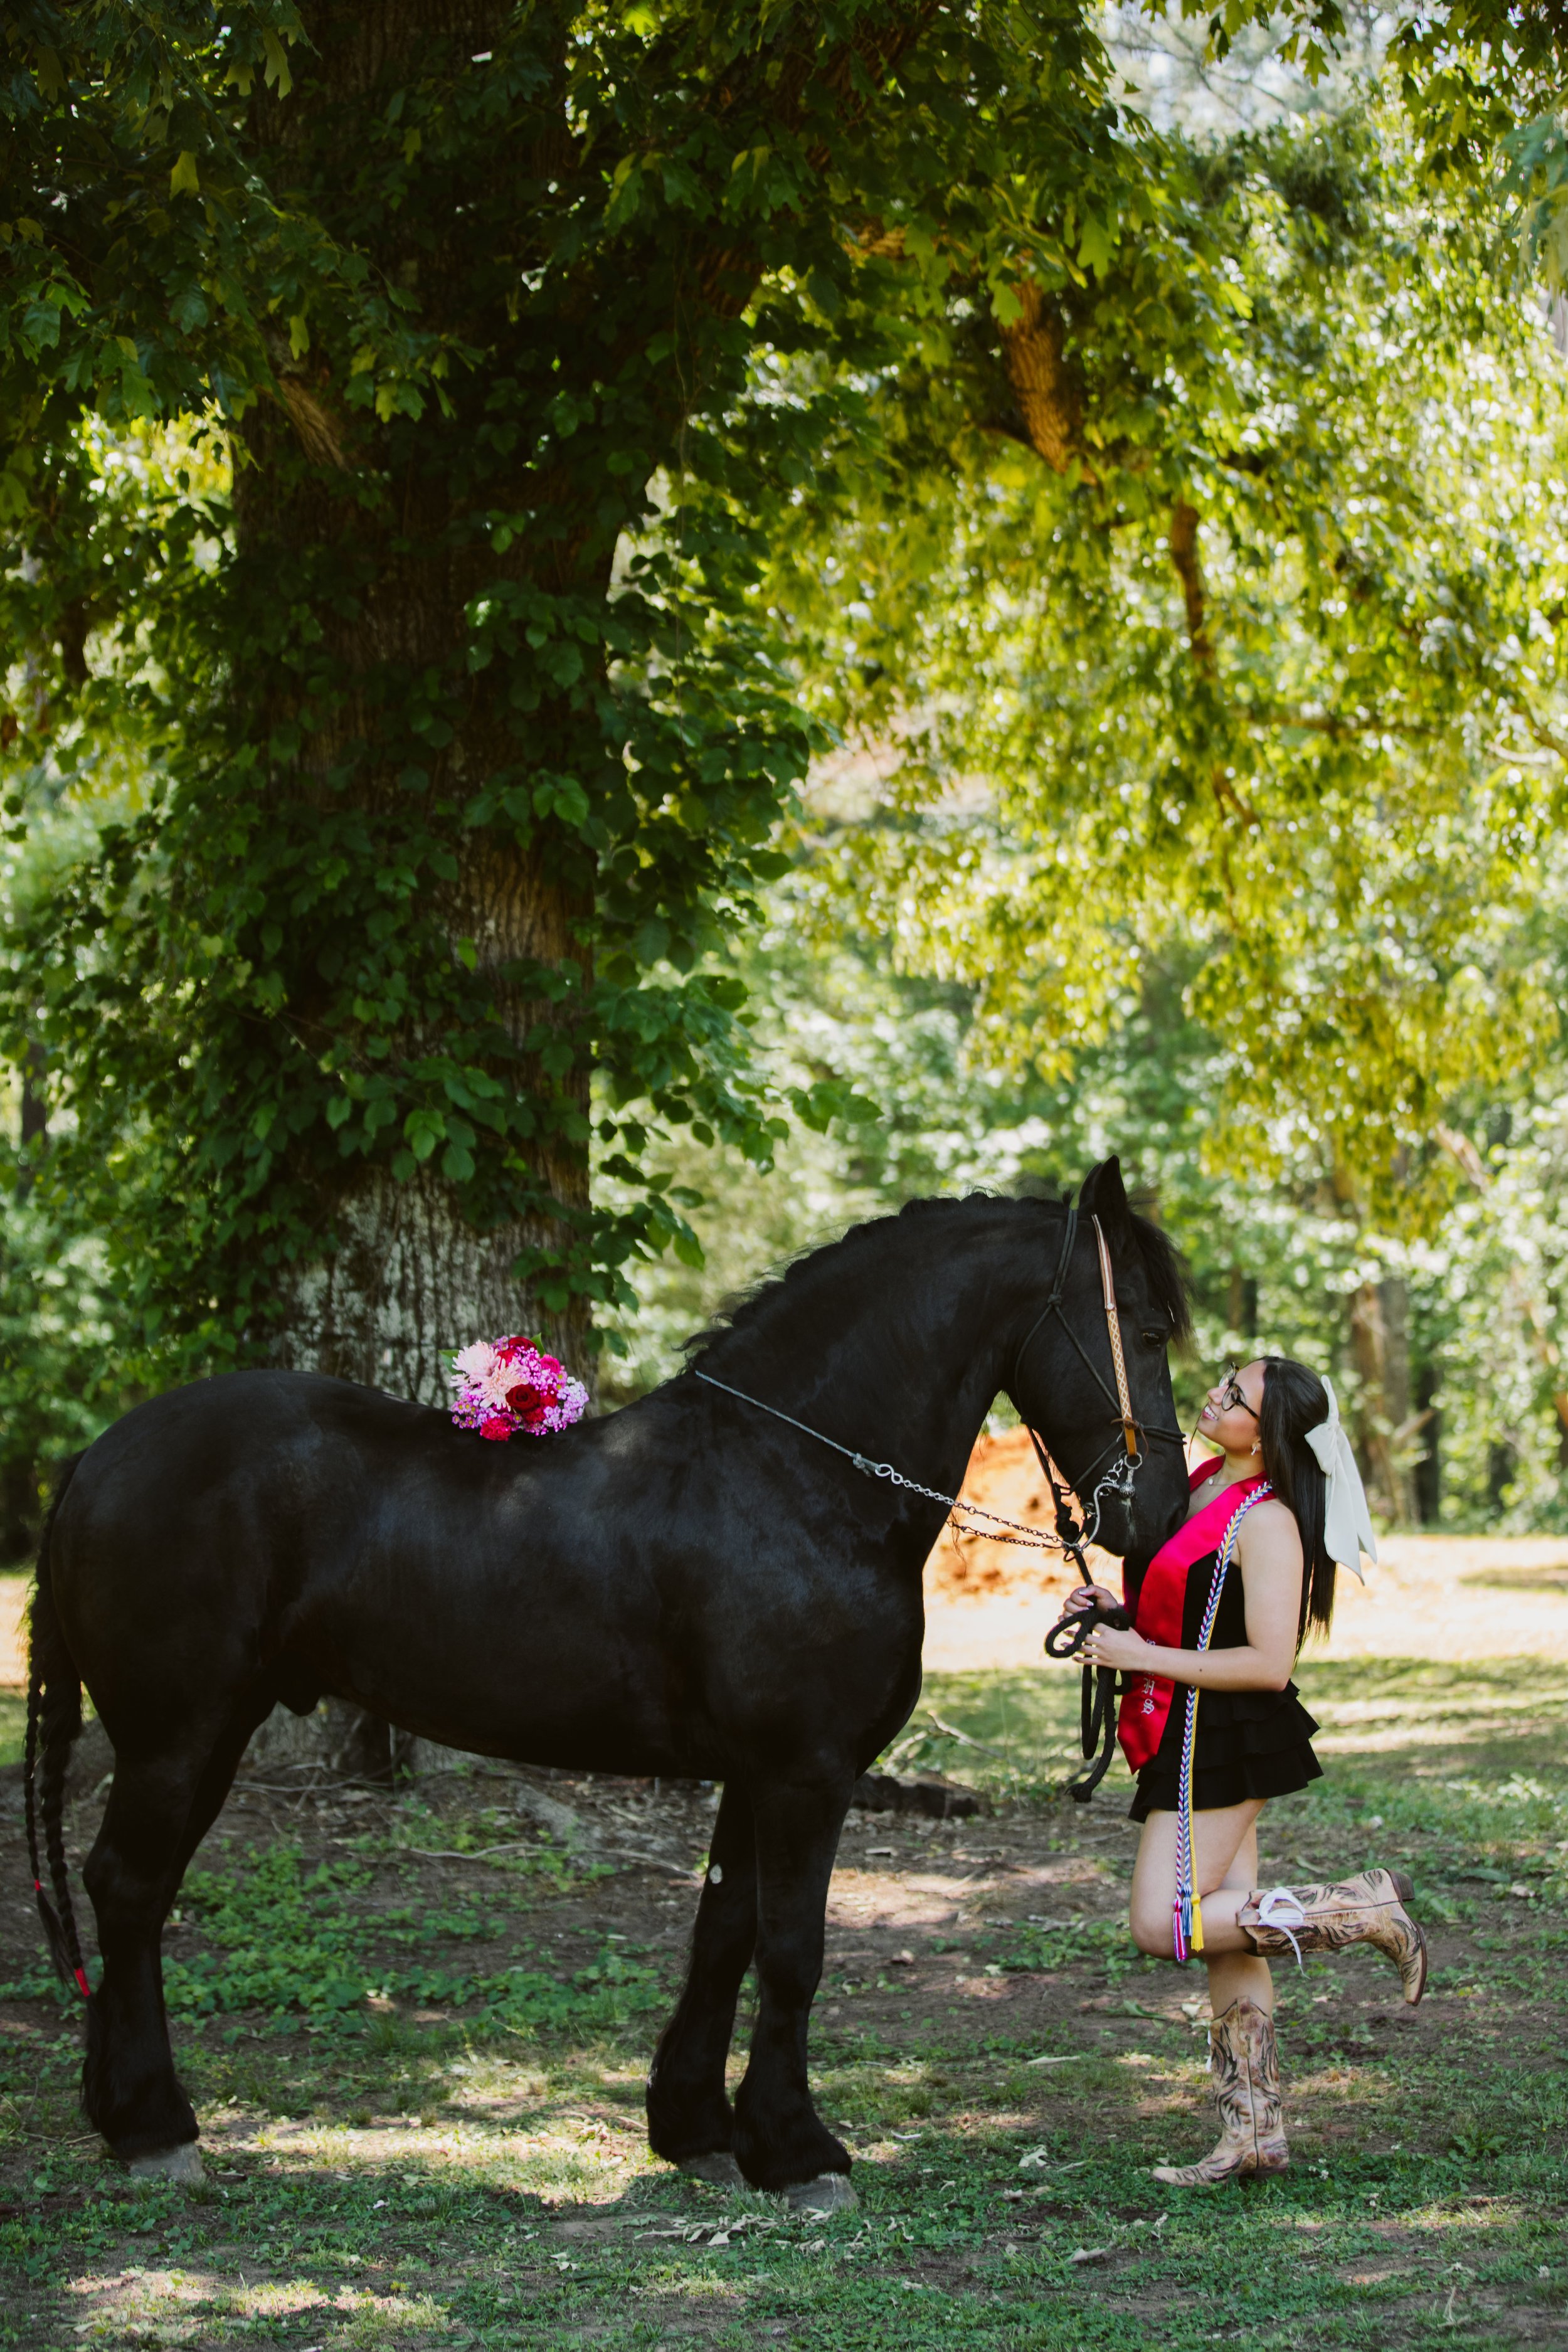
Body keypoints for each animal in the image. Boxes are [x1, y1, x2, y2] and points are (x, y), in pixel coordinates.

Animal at [25, 1156, 1190, 2199]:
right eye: (1144, 1330)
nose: (1162, 1515)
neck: (794, 1476)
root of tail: (94, 1458)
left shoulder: (754, 1773)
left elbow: (723, 1933)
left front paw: (697, 2129)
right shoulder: (805, 1773)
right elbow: (792, 1949)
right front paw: (798, 2151)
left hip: (210, 1732)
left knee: (131, 1891)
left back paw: (121, 2113)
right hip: (177, 1734)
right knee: (128, 1889)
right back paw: (155, 2127)